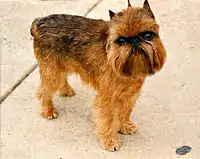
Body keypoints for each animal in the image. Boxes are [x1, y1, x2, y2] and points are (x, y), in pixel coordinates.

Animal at [30, 0, 166, 152]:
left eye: (148, 35)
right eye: (121, 40)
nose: (135, 41)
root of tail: (39, 22)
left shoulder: (129, 96)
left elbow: (125, 112)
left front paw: (124, 126)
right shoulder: (106, 99)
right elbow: (108, 120)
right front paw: (110, 141)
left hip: (60, 66)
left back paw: (65, 90)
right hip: (52, 72)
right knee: (44, 92)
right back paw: (48, 110)